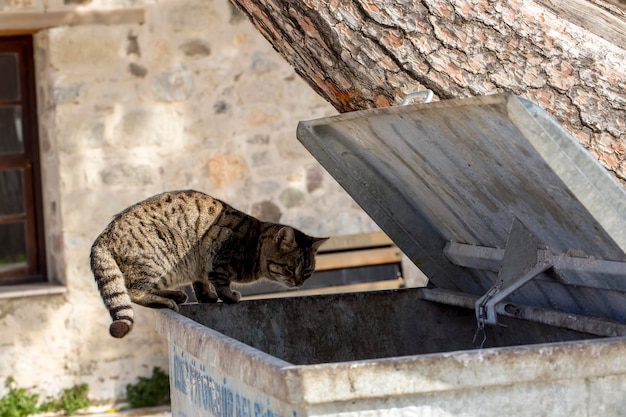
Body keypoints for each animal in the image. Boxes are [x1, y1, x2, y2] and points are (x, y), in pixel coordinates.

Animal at [92, 190, 330, 336]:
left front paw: (207, 297)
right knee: (134, 292)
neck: (253, 243)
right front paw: (230, 297)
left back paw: (175, 295)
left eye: (307, 272)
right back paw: (166, 300)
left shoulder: (199, 268)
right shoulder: (218, 262)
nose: (298, 283)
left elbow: (201, 285)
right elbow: (222, 285)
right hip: (159, 261)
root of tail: (103, 235)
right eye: (290, 268)